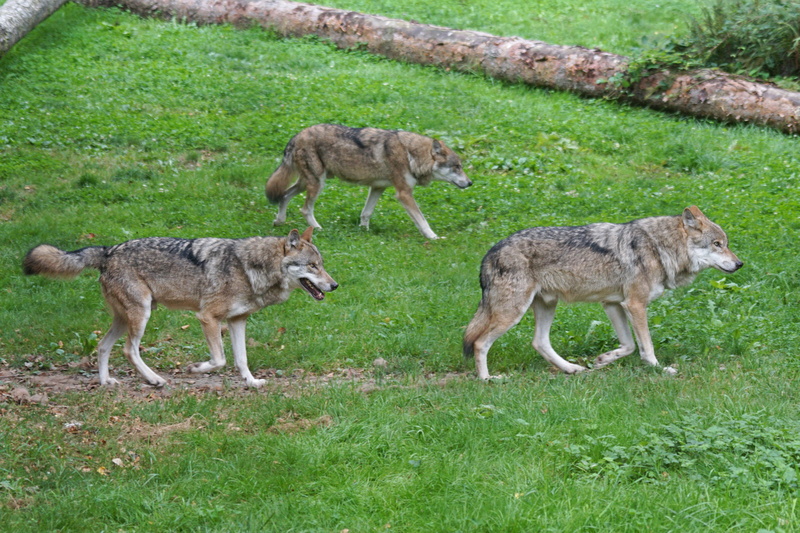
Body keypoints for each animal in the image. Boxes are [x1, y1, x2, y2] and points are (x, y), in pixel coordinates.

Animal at [23, 228, 337, 388]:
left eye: (321, 265)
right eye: (312, 266)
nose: (334, 285)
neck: (250, 269)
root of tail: (108, 250)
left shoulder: (238, 321)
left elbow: (241, 359)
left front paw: (251, 383)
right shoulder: (207, 317)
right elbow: (220, 360)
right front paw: (196, 368)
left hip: (125, 318)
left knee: (102, 346)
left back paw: (106, 382)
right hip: (142, 315)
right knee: (129, 350)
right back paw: (154, 379)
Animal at [265, 124, 472, 240]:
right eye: (457, 167)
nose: (470, 183)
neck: (411, 154)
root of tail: (296, 136)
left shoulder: (378, 187)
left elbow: (366, 213)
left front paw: (363, 231)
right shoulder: (404, 194)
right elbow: (422, 220)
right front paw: (433, 237)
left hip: (307, 183)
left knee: (284, 195)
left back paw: (279, 221)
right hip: (317, 184)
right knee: (305, 209)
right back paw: (317, 228)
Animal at [463, 206, 743, 379]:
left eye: (726, 244)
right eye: (717, 244)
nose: (740, 264)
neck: (658, 247)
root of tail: (491, 252)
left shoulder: (613, 304)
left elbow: (629, 345)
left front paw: (603, 360)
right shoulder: (635, 305)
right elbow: (647, 346)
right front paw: (659, 369)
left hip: (546, 306)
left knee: (539, 342)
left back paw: (571, 369)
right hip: (512, 313)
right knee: (479, 342)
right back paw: (487, 379)